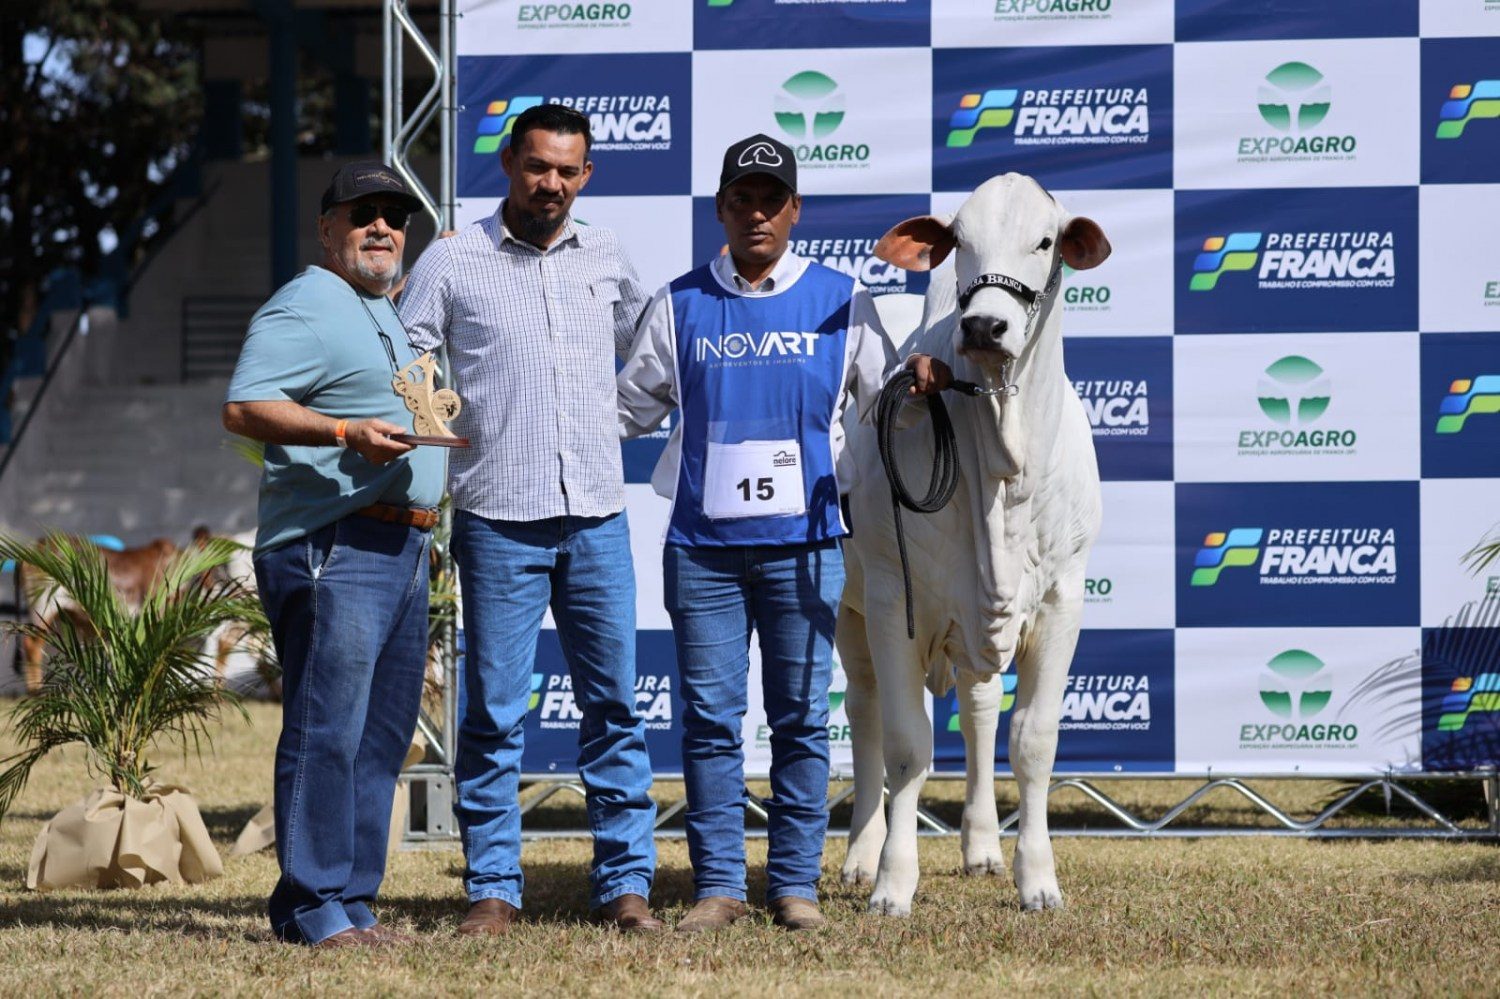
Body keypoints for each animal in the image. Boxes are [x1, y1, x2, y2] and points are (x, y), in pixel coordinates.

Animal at [840, 173, 1110, 912]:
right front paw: (892, 884)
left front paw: (1037, 878)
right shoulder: (891, 600)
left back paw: (983, 846)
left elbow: (1033, 740)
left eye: (1045, 240)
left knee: (981, 708)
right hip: (846, 607)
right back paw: (858, 856)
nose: (986, 325)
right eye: (959, 238)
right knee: (865, 711)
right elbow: (907, 745)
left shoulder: (1062, 599)